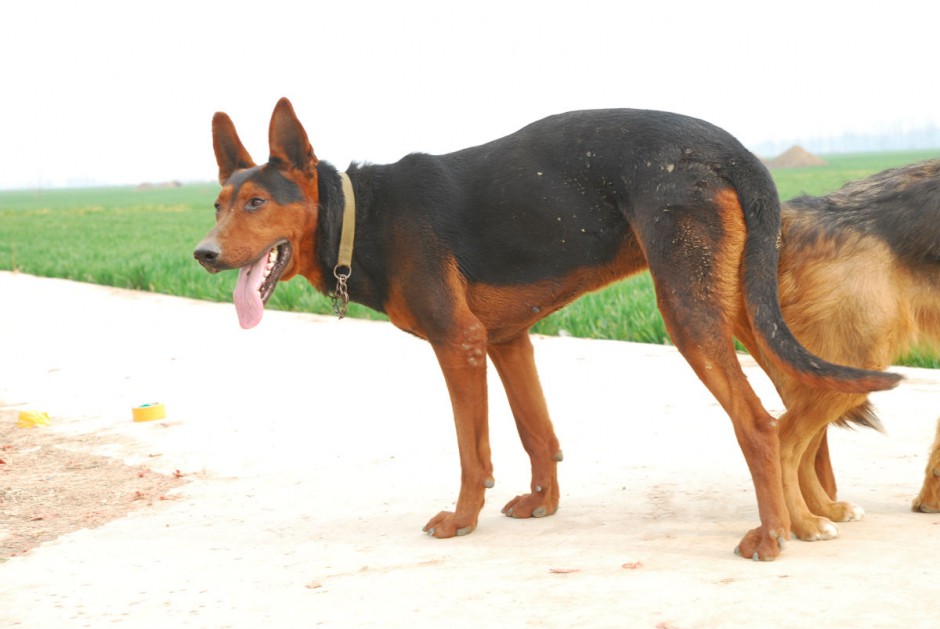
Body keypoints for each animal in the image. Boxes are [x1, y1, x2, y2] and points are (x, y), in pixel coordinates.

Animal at [195, 98, 900, 560]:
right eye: (219, 204)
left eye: (257, 203)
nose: (203, 254)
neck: (359, 216)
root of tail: (731, 148)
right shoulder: (508, 342)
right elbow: (538, 435)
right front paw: (542, 504)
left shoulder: (459, 345)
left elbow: (473, 453)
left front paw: (462, 520)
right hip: (740, 306)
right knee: (803, 399)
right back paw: (814, 517)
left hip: (690, 311)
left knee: (758, 423)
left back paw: (773, 535)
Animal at [748, 157, 940, 528]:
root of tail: (796, 218)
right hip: (858, 366)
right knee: (785, 440)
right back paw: (805, 524)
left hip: (834, 375)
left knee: (806, 447)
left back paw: (826, 510)